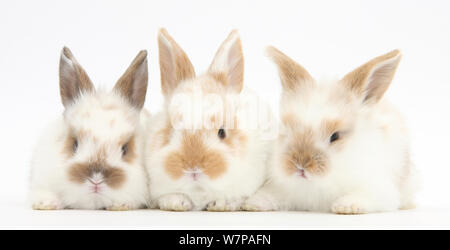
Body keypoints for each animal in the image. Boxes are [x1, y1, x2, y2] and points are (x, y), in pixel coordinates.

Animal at [244, 47, 420, 215]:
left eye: (335, 136)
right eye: (287, 130)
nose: (300, 165)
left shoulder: (379, 189)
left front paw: (346, 206)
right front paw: (252, 203)